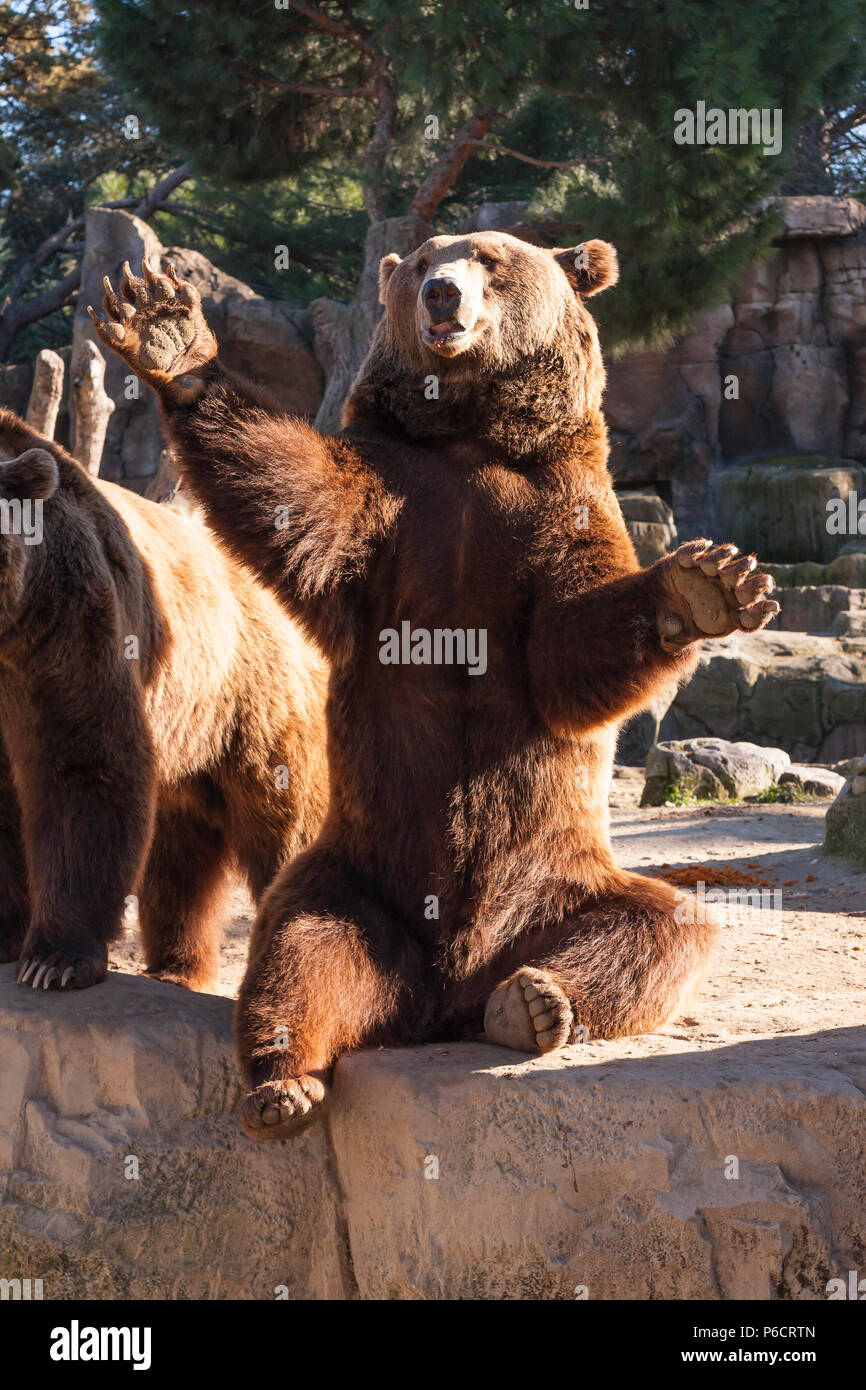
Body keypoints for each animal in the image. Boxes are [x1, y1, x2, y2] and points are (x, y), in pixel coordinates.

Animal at [0, 406, 328, 992]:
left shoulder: (59, 627)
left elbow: (83, 764)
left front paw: (54, 960)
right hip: (186, 749)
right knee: (179, 859)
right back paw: (177, 968)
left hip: (255, 701)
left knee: (287, 826)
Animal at [89, 242, 780, 1139]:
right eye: (422, 261)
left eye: (489, 257)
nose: (442, 293)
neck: (469, 441)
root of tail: (445, 994)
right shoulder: (391, 504)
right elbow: (290, 492)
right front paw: (167, 330)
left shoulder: (556, 504)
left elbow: (568, 652)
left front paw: (709, 583)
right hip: (365, 874)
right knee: (304, 947)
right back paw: (286, 1083)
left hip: (553, 881)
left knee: (661, 928)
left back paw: (535, 1004)